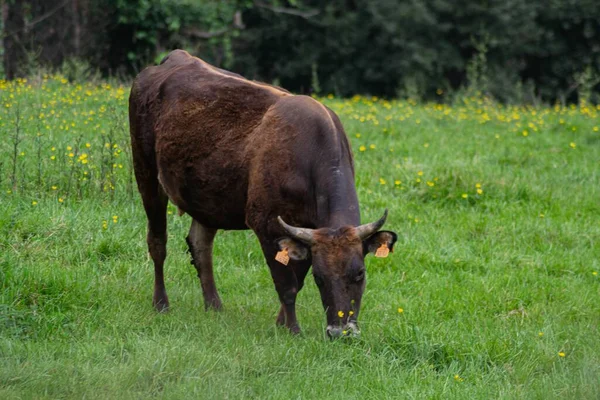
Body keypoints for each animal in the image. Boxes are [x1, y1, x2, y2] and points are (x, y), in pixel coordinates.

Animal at [129, 50, 396, 338]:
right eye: (320, 277)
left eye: (359, 273)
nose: (340, 332)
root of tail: (174, 58)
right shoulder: (266, 225)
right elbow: (287, 285)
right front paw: (292, 329)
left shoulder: (304, 232)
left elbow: (297, 278)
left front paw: (281, 322)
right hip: (145, 172)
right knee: (158, 242)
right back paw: (161, 303)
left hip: (206, 198)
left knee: (200, 247)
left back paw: (214, 306)